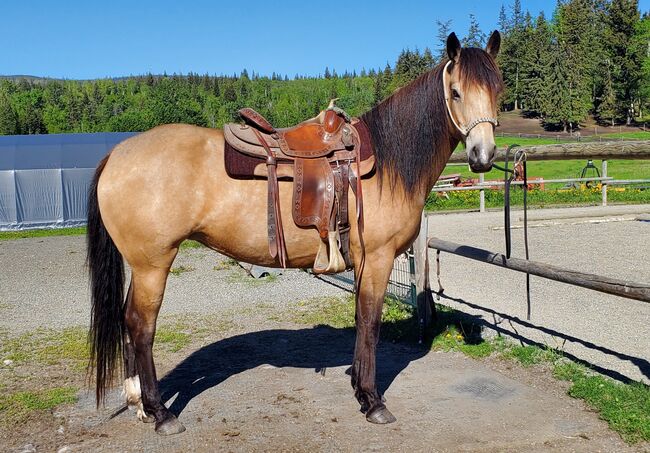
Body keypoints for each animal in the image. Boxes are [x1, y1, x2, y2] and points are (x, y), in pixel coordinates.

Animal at [86, 30, 502, 432]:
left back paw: (139, 405)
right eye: (455, 91)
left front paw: (358, 389)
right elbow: (370, 322)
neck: (387, 163)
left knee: (128, 322)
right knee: (141, 326)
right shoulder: (378, 258)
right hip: (153, 264)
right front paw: (372, 401)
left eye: (498, 89)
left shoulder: (364, 262)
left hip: (142, 266)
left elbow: (360, 320)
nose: (483, 156)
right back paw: (161, 413)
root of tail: (117, 154)